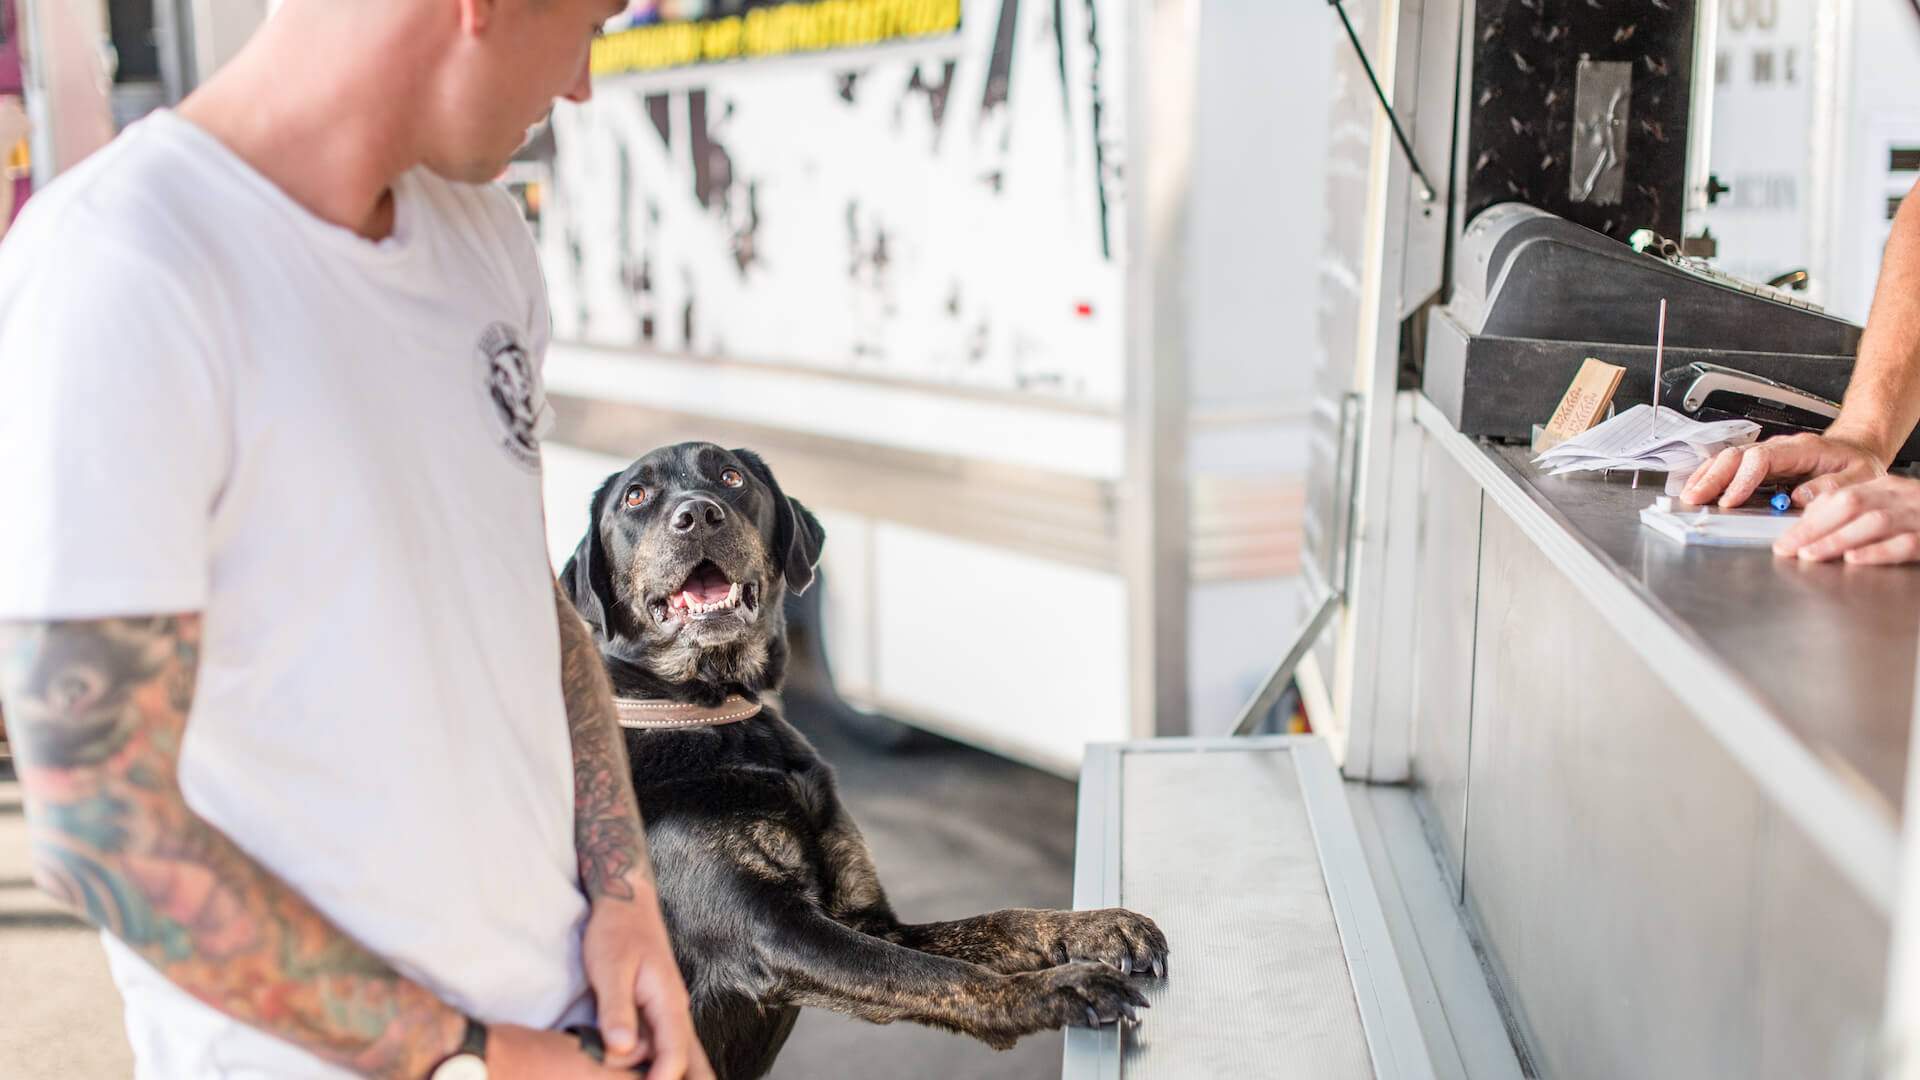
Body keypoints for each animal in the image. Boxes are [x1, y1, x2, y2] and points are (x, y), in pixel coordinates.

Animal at [560, 440, 1167, 1076]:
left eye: (730, 477)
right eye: (636, 497)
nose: (698, 514)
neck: (714, 710)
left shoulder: (864, 920)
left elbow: (997, 924)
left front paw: (1094, 927)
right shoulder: (770, 931)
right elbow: (937, 974)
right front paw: (1055, 988)